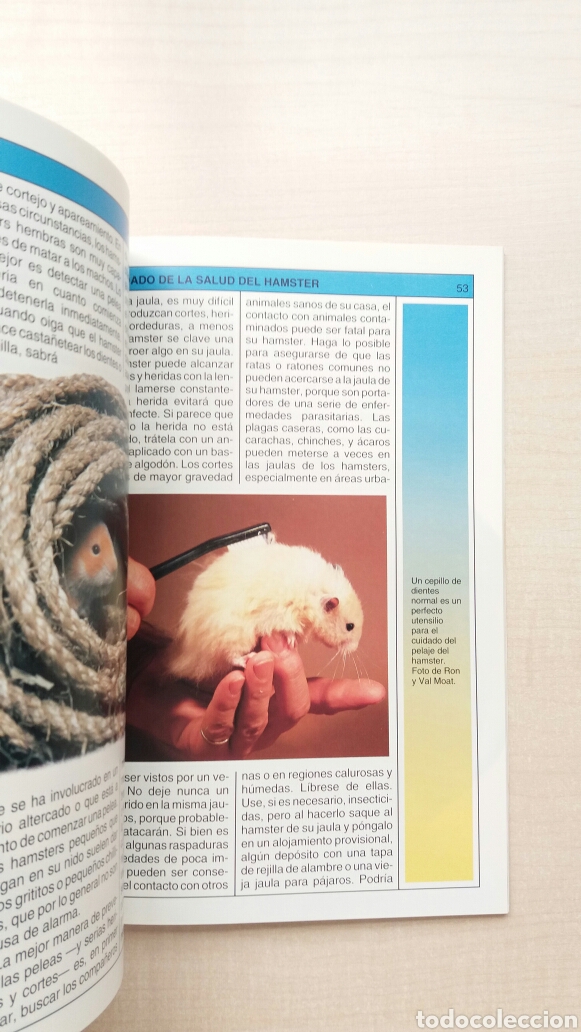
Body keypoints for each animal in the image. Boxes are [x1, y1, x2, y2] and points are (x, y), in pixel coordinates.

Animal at [167, 535, 363, 684]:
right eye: (350, 626)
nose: (354, 649)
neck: (312, 596)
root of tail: (188, 651)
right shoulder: (284, 615)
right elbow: (288, 629)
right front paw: (291, 642)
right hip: (234, 634)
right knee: (230, 655)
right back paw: (247, 659)